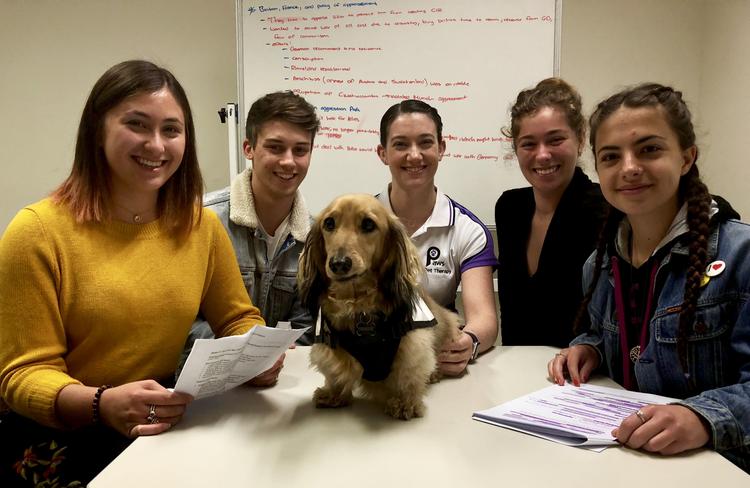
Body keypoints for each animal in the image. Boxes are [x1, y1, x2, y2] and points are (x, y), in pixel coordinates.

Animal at [296, 194, 462, 420]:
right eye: (329, 223)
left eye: (368, 224)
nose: (339, 263)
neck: (358, 305)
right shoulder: (331, 349)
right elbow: (335, 374)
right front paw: (333, 394)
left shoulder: (412, 347)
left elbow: (408, 376)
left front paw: (404, 402)